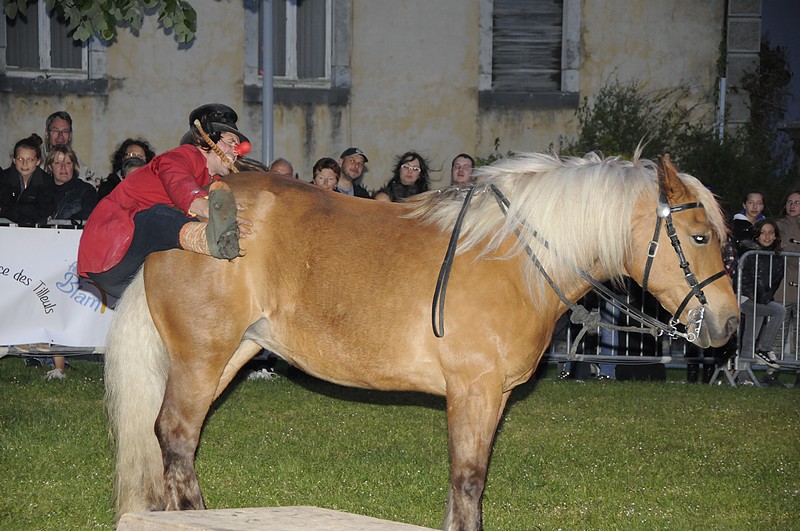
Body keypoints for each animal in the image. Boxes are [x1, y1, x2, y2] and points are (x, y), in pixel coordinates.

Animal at [104, 151, 739, 530]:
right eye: (699, 236)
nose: (730, 325)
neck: (515, 258)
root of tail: (175, 224)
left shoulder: (490, 397)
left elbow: (466, 484)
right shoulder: (474, 391)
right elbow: (468, 481)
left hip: (229, 355)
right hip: (200, 358)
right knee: (176, 436)